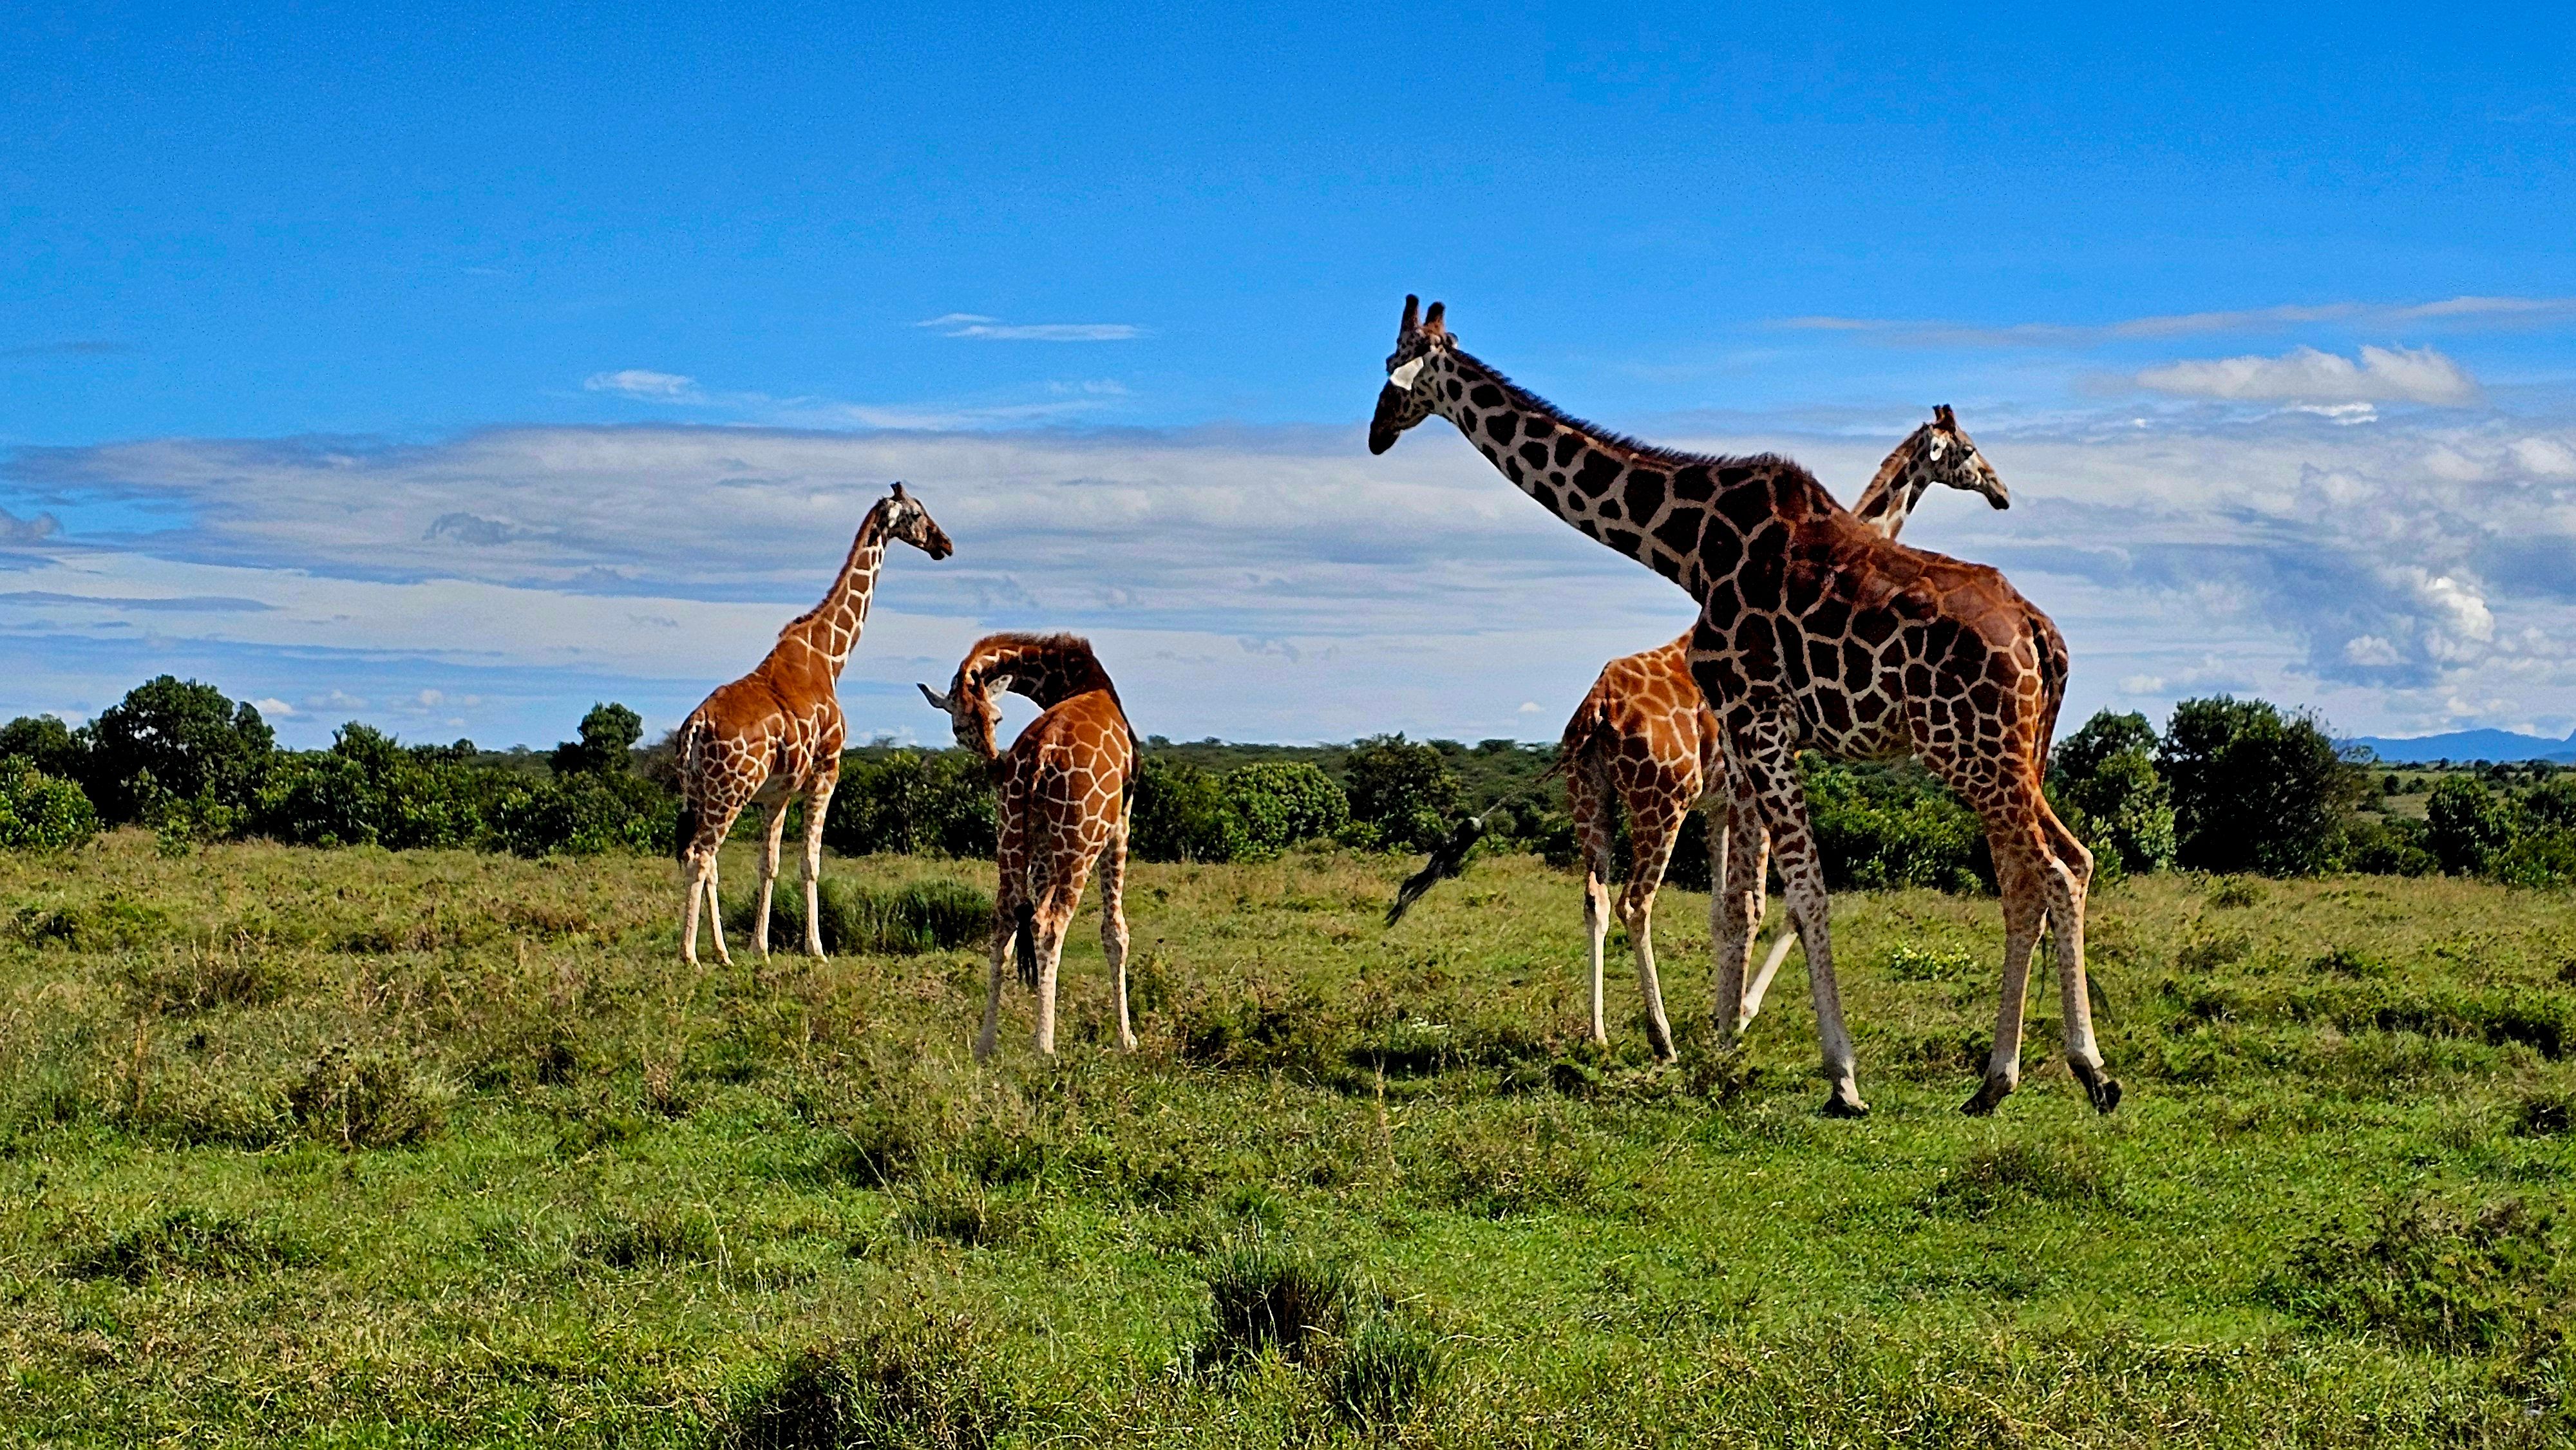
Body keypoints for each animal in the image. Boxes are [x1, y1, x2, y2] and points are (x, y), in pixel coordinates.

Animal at [673, 483, 953, 967]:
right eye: (917, 513)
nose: (945, 544)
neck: (830, 654)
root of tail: (697, 724)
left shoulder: (778, 791)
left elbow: (768, 864)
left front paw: (760, 948)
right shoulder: (827, 771)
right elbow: (811, 863)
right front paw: (816, 948)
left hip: (700, 791)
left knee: (704, 858)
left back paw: (722, 953)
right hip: (731, 790)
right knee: (701, 855)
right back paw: (691, 955)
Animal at [918, 633, 1137, 1061]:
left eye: (997, 718)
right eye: (960, 726)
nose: (993, 765)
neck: (1078, 682)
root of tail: (1040, 753)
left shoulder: (1038, 844)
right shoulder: (1120, 825)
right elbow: (1115, 933)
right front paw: (1127, 1040)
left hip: (1009, 838)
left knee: (1004, 923)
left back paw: (986, 1044)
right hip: (1080, 843)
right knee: (1051, 925)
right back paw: (1045, 1047)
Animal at [1558, 409, 2011, 1064]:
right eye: (1971, 450)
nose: (2001, 492)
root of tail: (1597, 708)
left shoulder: (1719, 805)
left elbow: (1724, 910)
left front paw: (1723, 1013)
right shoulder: (1759, 774)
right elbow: (1773, 905)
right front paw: (1740, 1017)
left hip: (1588, 792)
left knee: (1594, 897)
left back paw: (1598, 1033)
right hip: (1659, 800)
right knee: (1634, 901)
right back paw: (1661, 1038)